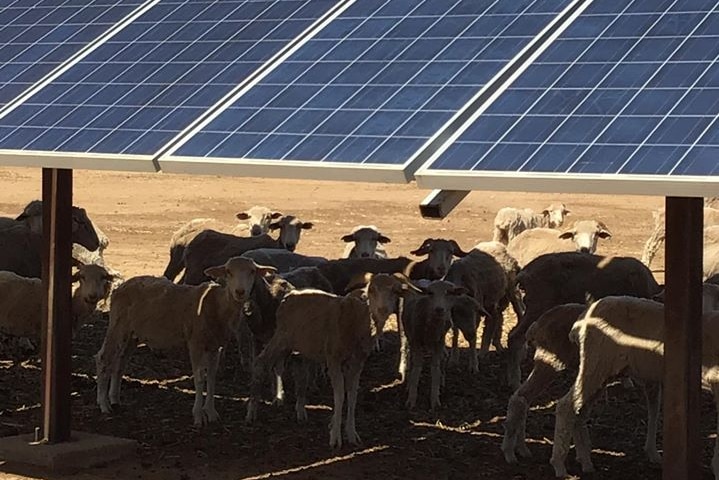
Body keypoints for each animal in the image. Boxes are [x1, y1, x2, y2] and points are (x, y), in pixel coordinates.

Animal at [95, 256, 276, 426]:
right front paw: (198, 416)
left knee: (120, 363)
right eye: (228, 272)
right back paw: (104, 404)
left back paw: (115, 399)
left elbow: (211, 377)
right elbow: (200, 378)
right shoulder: (195, 343)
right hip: (118, 325)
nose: (240, 291)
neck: (218, 305)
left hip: (132, 334)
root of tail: (120, 287)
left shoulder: (215, 346)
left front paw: (211, 413)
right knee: (103, 358)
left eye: (252, 271)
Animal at [246, 288, 374, 450]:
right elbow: (340, 394)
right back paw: (252, 411)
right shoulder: (334, 359)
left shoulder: (356, 363)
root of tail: (288, 296)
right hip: (282, 338)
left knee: (289, 370)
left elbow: (351, 394)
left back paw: (298, 410)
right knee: (260, 363)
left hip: (292, 345)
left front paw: (348, 432)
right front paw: (335, 437)